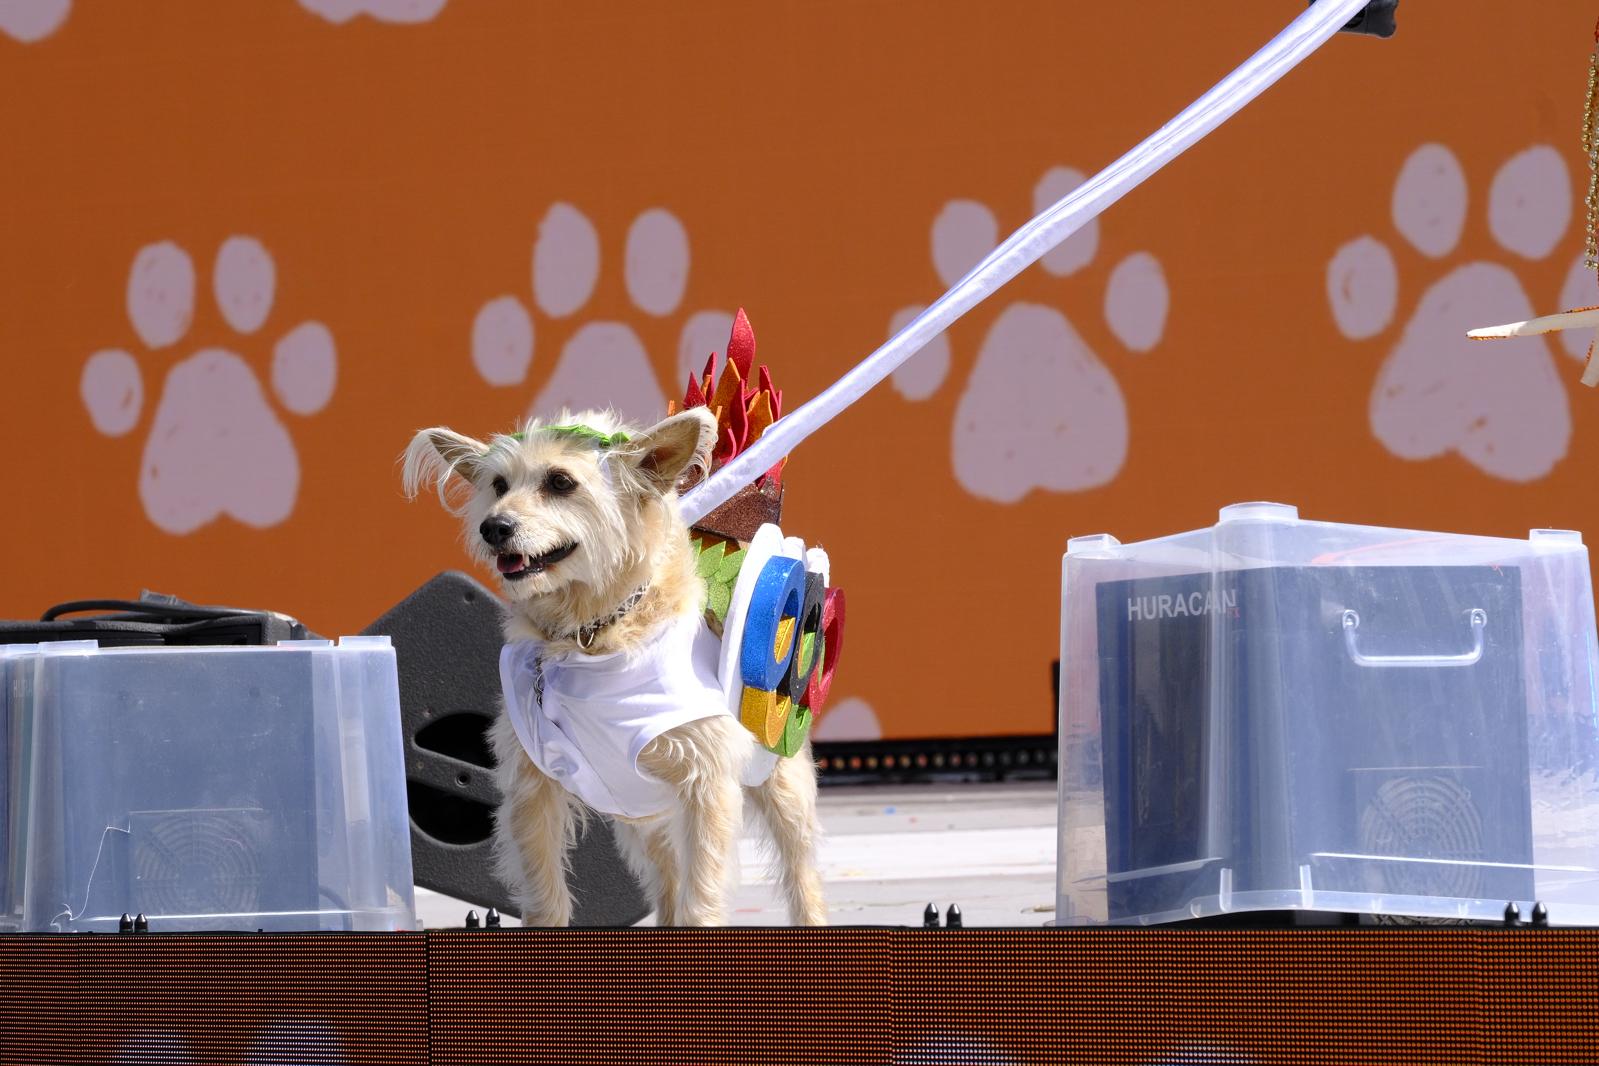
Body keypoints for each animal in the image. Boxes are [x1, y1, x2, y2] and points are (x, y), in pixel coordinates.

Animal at [399, 409, 831, 926]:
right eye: (499, 484)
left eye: (560, 482)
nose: (493, 527)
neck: (589, 634)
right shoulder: (533, 793)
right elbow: (546, 898)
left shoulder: (706, 788)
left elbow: (701, 900)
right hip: (644, 819)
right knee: (667, 883)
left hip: (781, 789)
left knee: (801, 874)